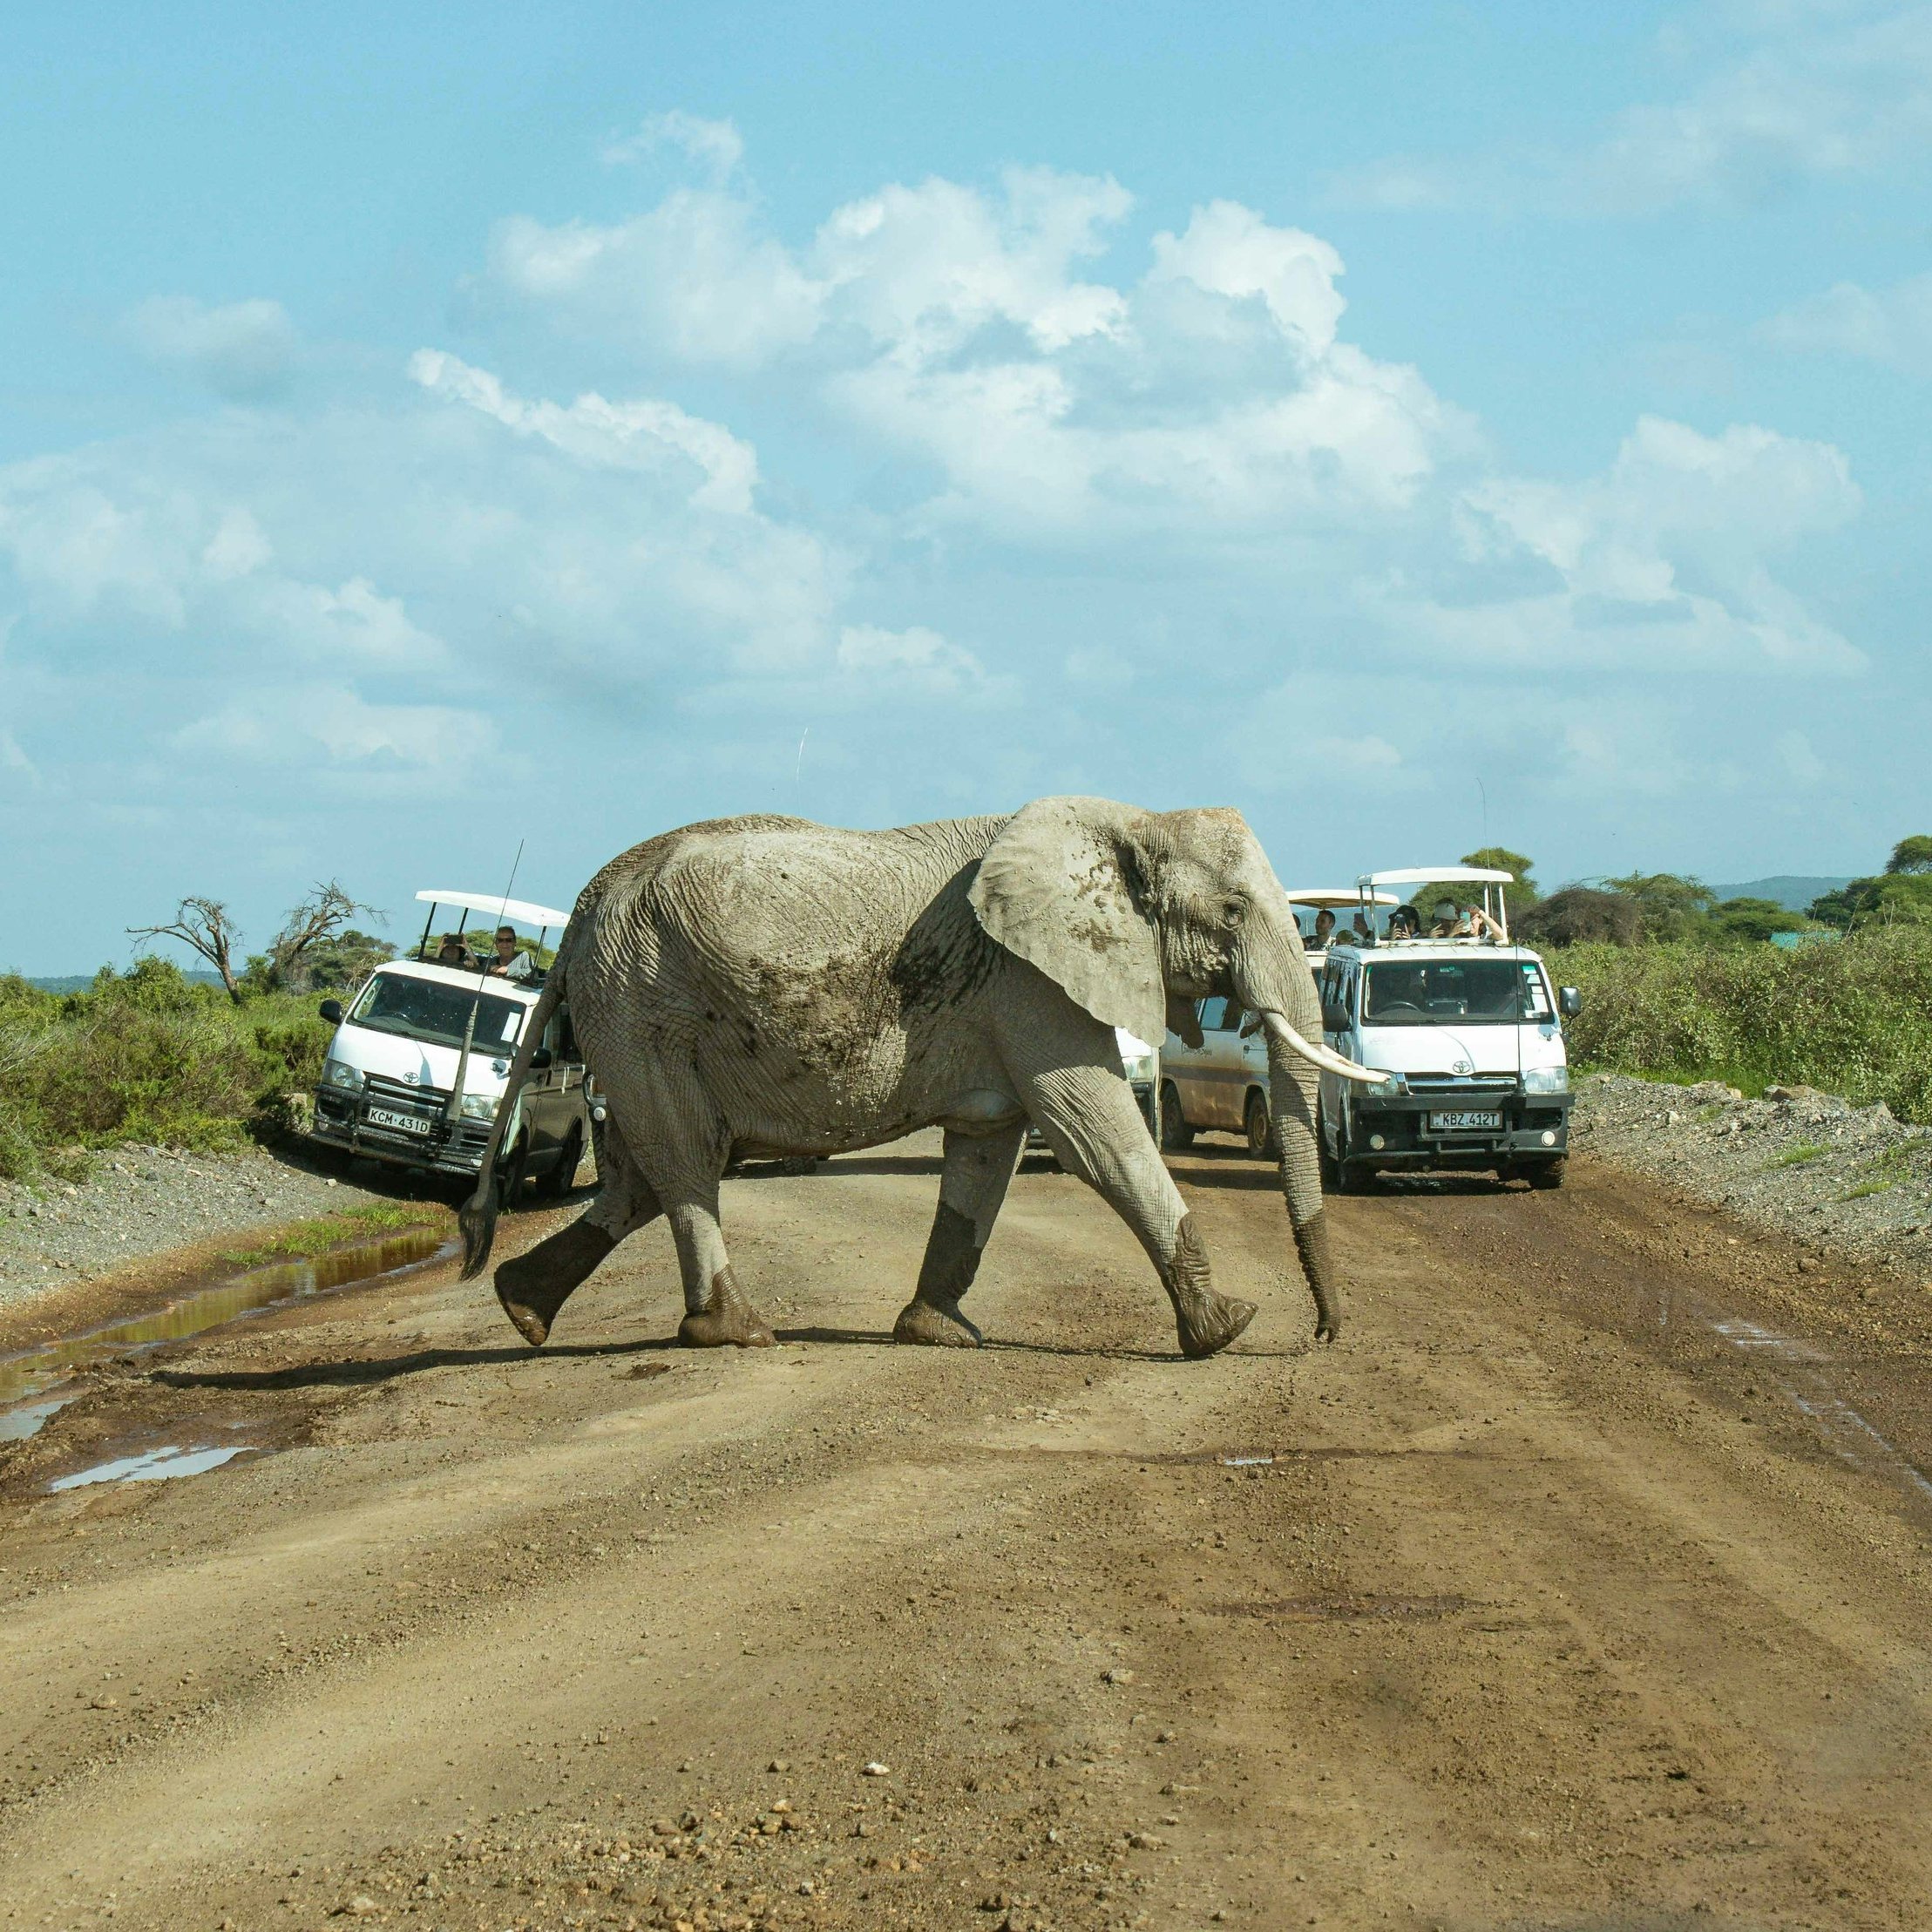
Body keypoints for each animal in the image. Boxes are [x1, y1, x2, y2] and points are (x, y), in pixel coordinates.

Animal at [458, 798, 1382, 1360]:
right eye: (1231, 912)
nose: (1323, 1336)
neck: (1127, 822)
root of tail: (587, 901)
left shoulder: (1007, 1001)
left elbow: (985, 1155)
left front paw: (937, 1332)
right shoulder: (1030, 985)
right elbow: (1097, 1137)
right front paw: (1225, 1330)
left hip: (630, 1013)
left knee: (644, 1175)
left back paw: (521, 1308)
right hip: (644, 1003)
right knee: (685, 1160)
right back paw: (739, 1333)